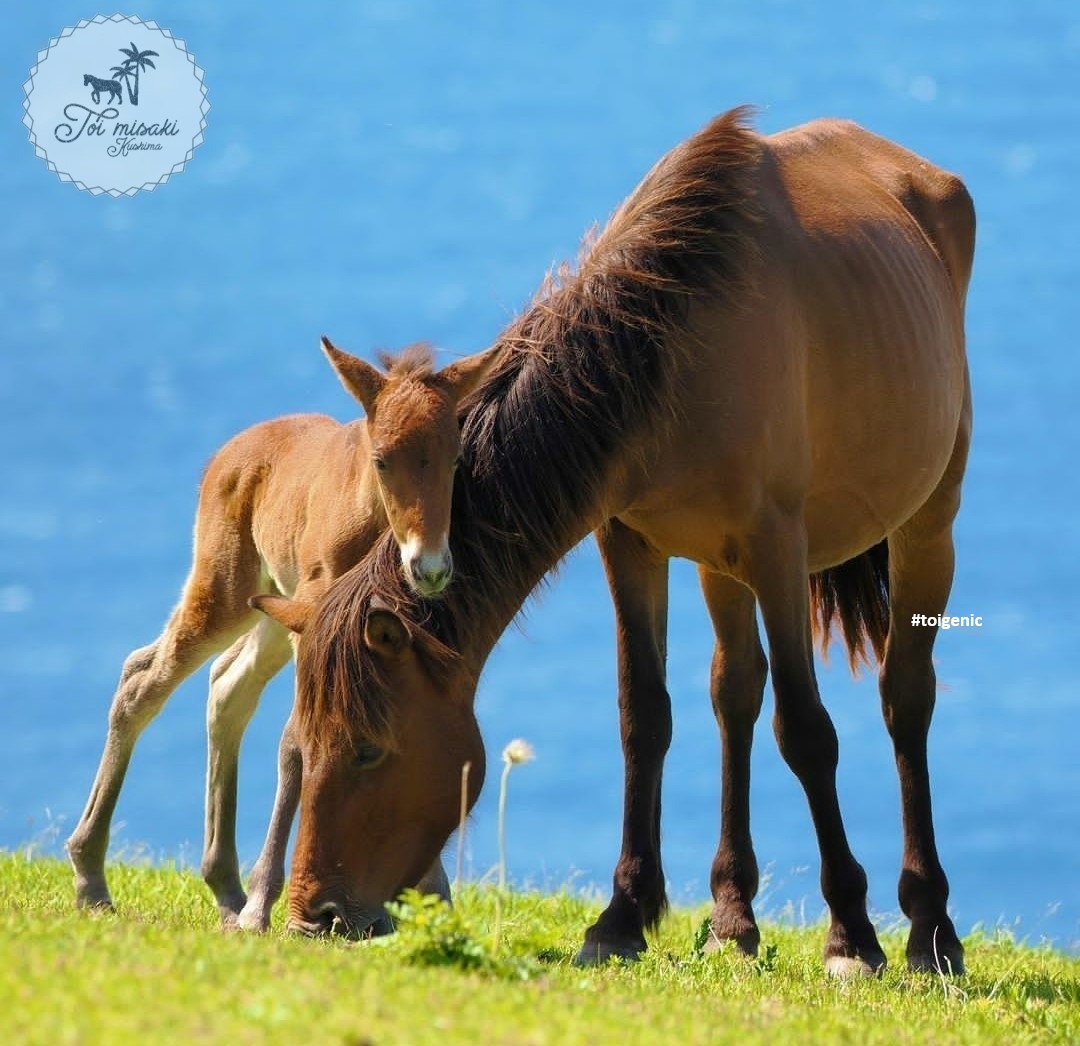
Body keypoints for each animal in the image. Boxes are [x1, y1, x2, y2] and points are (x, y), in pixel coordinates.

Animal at [66, 337, 499, 928]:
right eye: (382, 460)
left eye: (455, 460)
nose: (429, 567)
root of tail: (227, 453)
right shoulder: (318, 620)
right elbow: (298, 738)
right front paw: (268, 905)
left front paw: (423, 897)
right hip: (226, 588)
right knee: (143, 677)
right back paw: (93, 877)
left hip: (273, 608)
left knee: (228, 685)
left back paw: (225, 886)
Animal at [255, 108, 976, 976]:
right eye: (305, 744)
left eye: (367, 749)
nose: (312, 916)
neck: (672, 344)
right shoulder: (628, 540)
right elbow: (645, 715)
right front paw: (623, 916)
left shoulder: (776, 547)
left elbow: (806, 730)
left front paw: (852, 936)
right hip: (718, 564)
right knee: (735, 694)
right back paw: (734, 917)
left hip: (927, 523)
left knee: (905, 699)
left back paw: (930, 927)